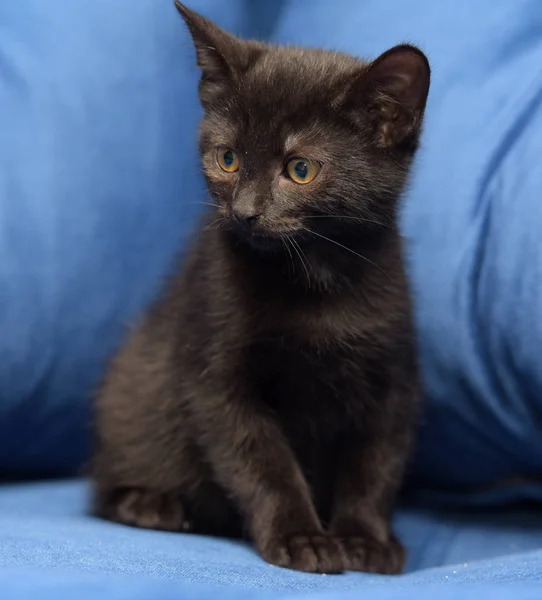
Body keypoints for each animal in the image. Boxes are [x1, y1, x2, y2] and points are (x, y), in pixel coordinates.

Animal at [94, 0, 434, 576]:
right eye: (227, 159)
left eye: (300, 169)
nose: (246, 213)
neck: (315, 280)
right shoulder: (214, 372)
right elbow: (262, 460)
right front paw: (302, 537)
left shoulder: (393, 374)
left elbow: (375, 462)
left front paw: (363, 538)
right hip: (134, 388)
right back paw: (151, 504)